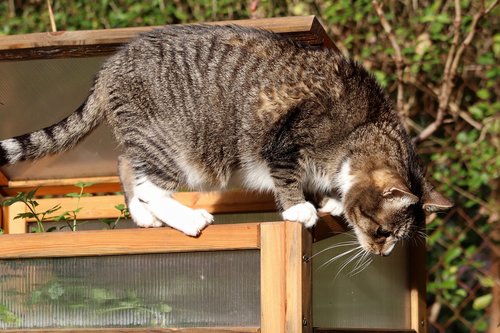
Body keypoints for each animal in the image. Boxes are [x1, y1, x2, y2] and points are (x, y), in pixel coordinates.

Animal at [0, 24, 454, 255]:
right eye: (382, 231)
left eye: (393, 239)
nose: (381, 253)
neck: (364, 128)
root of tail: (109, 67)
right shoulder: (286, 140)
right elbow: (288, 177)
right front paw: (300, 209)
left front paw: (330, 200)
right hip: (173, 143)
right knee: (149, 184)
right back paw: (186, 218)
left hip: (145, 138)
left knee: (126, 164)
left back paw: (145, 217)